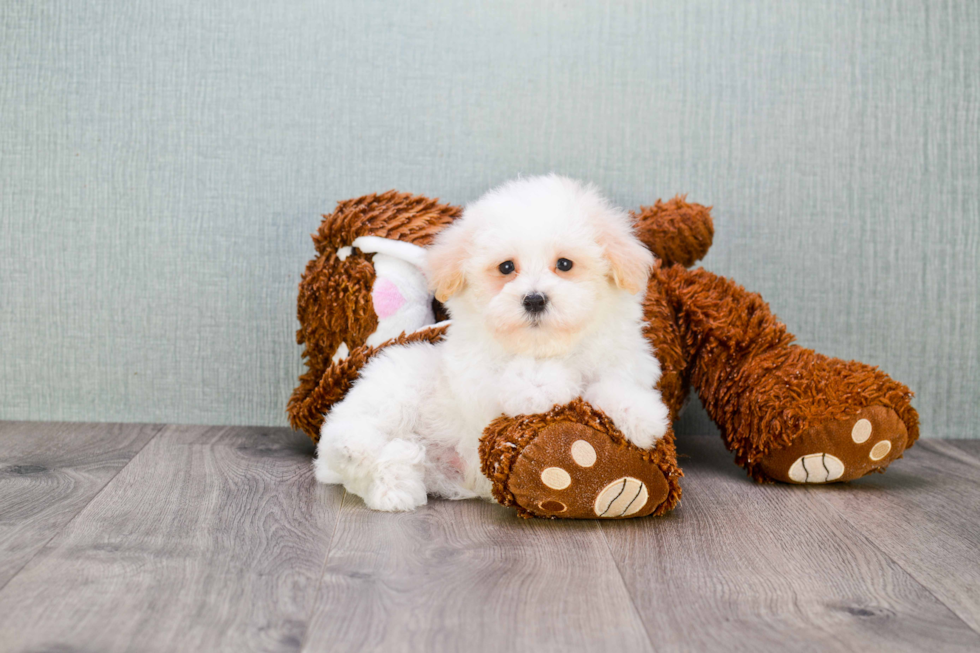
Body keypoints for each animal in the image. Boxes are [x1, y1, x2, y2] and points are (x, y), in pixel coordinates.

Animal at [318, 176, 668, 512]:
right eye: (506, 267)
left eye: (565, 264)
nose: (534, 299)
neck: (547, 346)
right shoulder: (477, 381)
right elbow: (517, 382)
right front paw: (544, 383)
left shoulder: (623, 361)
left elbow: (607, 385)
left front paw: (641, 415)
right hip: (397, 386)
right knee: (346, 435)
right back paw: (363, 455)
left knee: (387, 460)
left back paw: (398, 485)